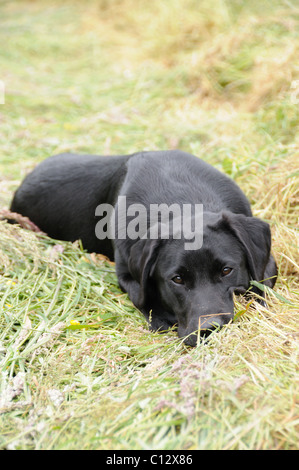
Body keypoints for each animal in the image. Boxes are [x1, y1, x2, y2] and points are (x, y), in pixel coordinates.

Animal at [10, 151, 278, 346]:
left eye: (226, 271)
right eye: (177, 279)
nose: (209, 329)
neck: (181, 202)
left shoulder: (267, 262)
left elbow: (261, 285)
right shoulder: (127, 273)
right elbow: (144, 299)